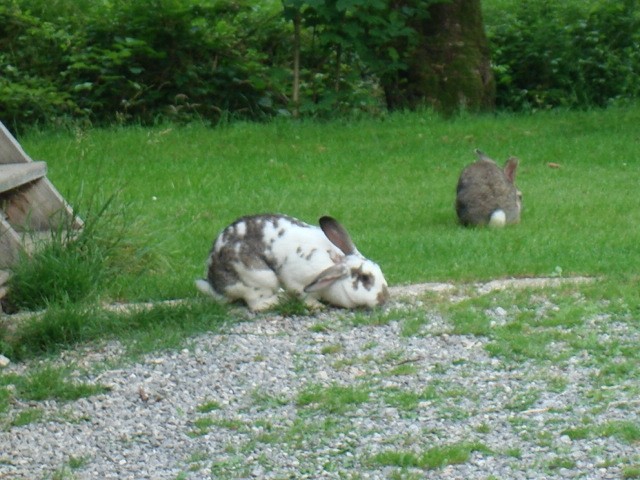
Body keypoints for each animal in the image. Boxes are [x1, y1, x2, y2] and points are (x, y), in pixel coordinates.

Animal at [195, 214, 388, 312]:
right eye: (365, 278)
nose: (384, 297)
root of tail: (215, 285)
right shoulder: (298, 281)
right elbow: (304, 295)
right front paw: (316, 305)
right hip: (259, 278)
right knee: (257, 305)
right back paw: (283, 298)